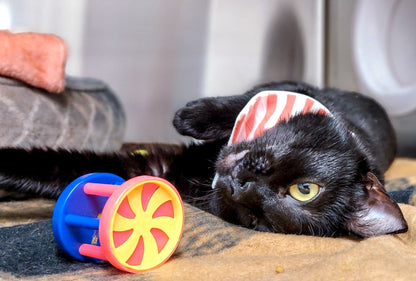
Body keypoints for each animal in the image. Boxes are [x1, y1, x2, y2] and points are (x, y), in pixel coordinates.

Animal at [0, 80, 408, 236]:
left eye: (258, 219)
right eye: (305, 189)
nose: (243, 185)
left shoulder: (149, 168)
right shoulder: (297, 90)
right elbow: (242, 100)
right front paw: (189, 115)